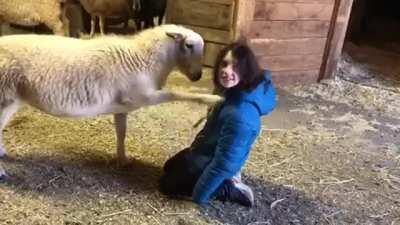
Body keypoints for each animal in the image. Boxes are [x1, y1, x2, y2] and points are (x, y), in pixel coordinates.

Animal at [0, 24, 220, 165]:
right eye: (188, 45)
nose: (198, 76)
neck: (144, 58)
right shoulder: (142, 96)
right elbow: (175, 93)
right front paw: (213, 99)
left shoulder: (122, 106)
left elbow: (121, 133)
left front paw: (122, 160)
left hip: (11, 100)